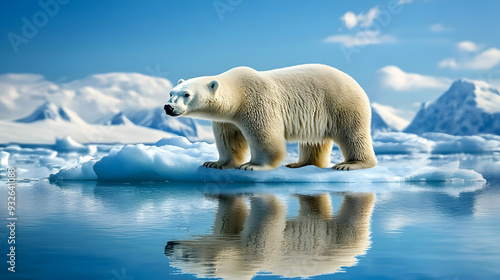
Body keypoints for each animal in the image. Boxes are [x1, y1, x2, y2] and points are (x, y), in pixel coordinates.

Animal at [166, 63, 376, 171]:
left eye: (186, 94)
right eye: (171, 93)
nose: (168, 107)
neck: (238, 93)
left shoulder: (257, 102)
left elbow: (264, 136)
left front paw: (252, 166)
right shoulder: (226, 120)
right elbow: (229, 139)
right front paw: (215, 163)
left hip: (341, 104)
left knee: (352, 134)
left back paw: (350, 164)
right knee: (313, 141)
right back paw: (300, 164)